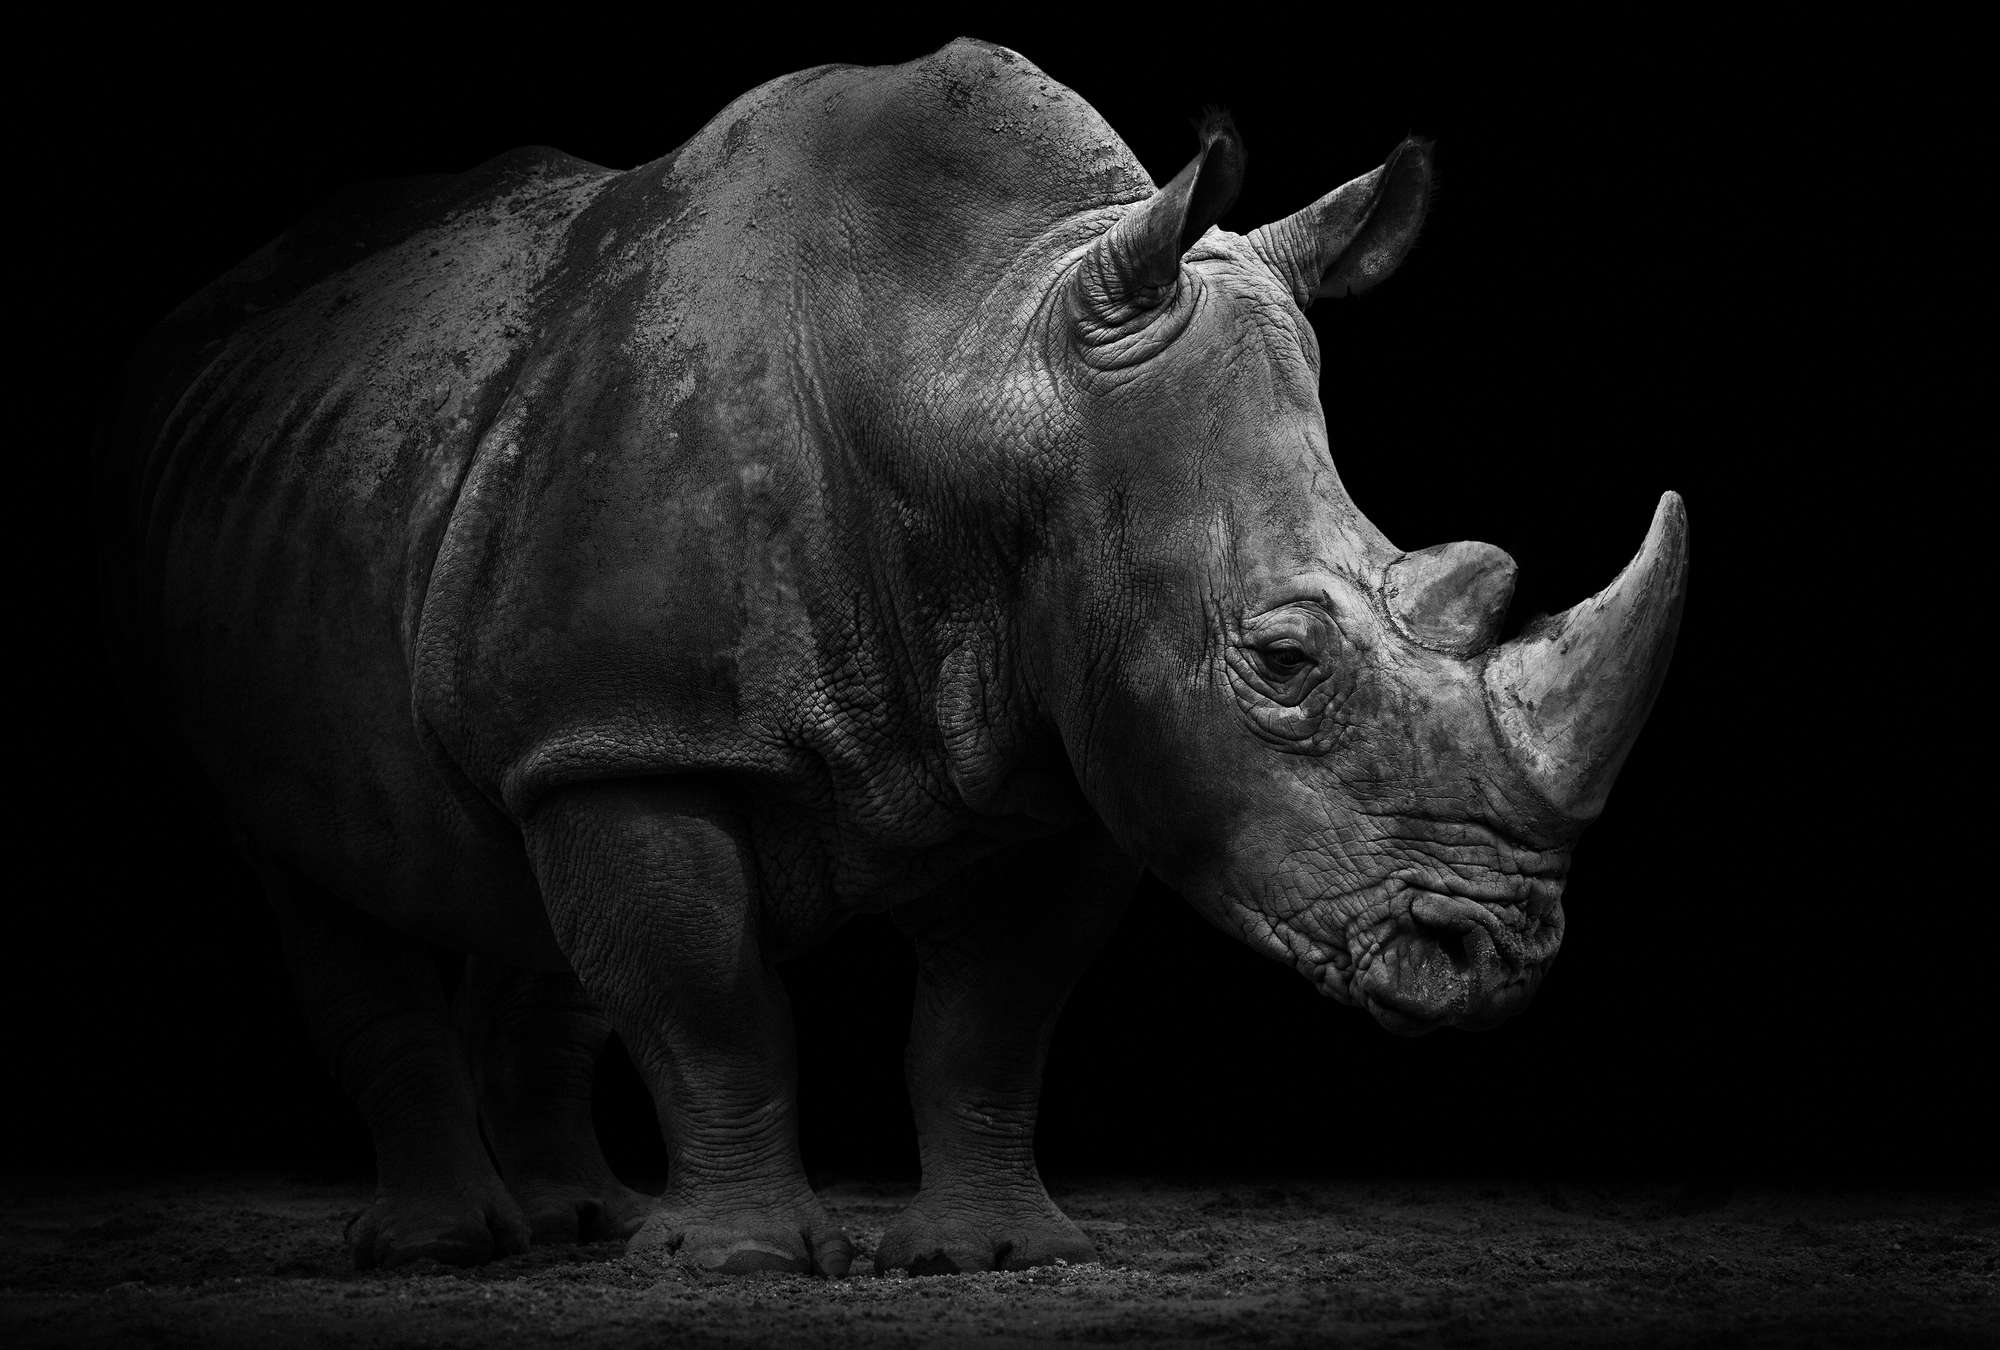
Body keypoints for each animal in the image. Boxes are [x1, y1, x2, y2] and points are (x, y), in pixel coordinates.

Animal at [105, 38, 1686, 1275]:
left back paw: (580, 1228)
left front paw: (990, 1254)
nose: (1497, 953)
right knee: (318, 873)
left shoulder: (1075, 746)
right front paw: (738, 1263)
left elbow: (988, 1023)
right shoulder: (641, 724)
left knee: (520, 877)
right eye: (1286, 659)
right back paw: (450, 1249)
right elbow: (704, 994)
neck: (977, 363)